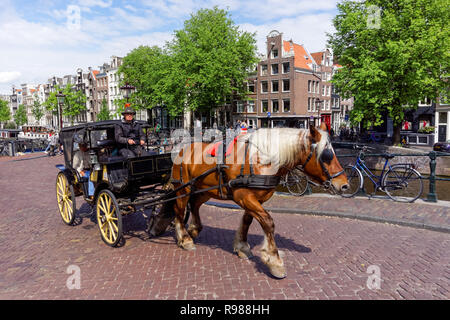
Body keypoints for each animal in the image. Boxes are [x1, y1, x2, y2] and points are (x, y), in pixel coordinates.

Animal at [169, 122, 348, 278]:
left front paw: (242, 247)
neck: (263, 160)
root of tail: (181, 149)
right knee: (179, 211)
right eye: (326, 156)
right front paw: (274, 262)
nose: (344, 185)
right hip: (183, 190)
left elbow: (247, 221)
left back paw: (193, 230)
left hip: (206, 190)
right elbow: (268, 223)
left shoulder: (256, 199)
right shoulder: (244, 196)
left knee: (194, 205)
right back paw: (185, 239)